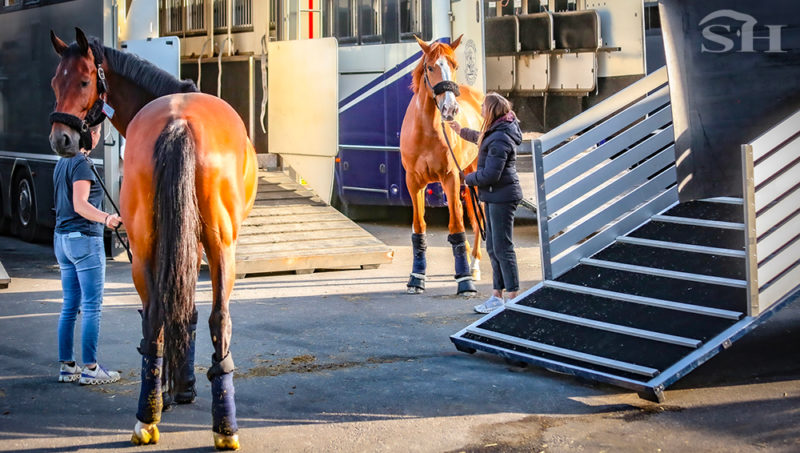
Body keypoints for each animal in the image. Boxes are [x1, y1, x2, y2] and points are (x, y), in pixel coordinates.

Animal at [48, 28, 257, 450]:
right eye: (54, 83)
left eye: (83, 82)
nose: (62, 139)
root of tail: (179, 122)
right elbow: (188, 311)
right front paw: (182, 387)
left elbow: (179, 309)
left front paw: (175, 388)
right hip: (221, 245)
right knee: (214, 318)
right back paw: (218, 425)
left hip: (146, 245)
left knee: (158, 315)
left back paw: (149, 417)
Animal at [400, 36, 485, 295]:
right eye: (430, 67)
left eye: (455, 65)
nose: (450, 109)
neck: (426, 131)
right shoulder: (413, 182)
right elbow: (419, 227)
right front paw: (416, 278)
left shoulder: (450, 178)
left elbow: (456, 225)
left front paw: (465, 281)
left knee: (478, 216)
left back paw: (473, 266)